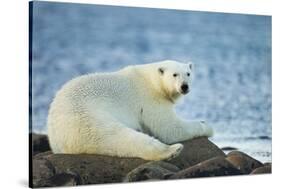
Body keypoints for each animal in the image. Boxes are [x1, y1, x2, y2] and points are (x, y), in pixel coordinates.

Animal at [47, 59, 212, 160]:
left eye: (188, 74)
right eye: (174, 74)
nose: (184, 86)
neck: (152, 81)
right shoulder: (150, 99)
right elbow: (169, 128)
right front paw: (207, 126)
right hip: (86, 117)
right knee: (119, 136)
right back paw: (172, 150)